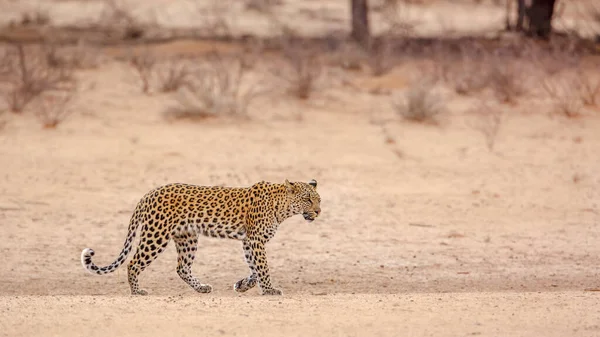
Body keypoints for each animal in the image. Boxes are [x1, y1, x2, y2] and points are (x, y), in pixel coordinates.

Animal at [83, 178, 324, 294]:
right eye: (307, 199)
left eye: (318, 199)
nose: (319, 211)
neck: (282, 208)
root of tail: (149, 193)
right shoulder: (255, 240)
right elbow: (262, 267)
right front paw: (270, 290)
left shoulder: (249, 241)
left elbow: (254, 268)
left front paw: (242, 285)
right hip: (156, 235)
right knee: (133, 263)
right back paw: (137, 291)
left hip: (187, 237)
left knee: (182, 267)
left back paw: (201, 288)